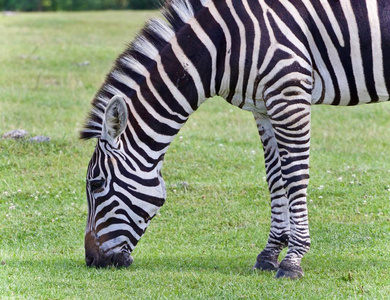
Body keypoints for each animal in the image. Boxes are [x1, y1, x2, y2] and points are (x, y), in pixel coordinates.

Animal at [80, 0, 390, 278]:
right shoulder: (263, 107)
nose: (92, 261)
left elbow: (294, 175)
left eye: (96, 184)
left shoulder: (288, 93)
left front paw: (293, 260)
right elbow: (275, 178)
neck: (222, 45)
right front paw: (269, 255)